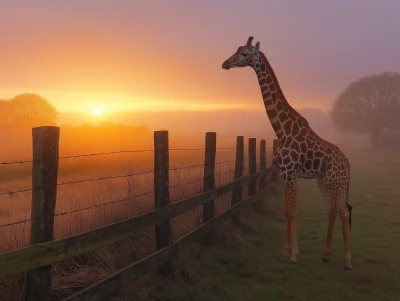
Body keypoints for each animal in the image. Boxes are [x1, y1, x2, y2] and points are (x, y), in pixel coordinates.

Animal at [222, 36, 354, 268]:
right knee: (331, 209)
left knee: (343, 211)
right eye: (237, 49)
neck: (281, 128)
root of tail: (348, 164)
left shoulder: (291, 173)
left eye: (245, 53)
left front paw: (294, 255)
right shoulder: (283, 174)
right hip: (324, 181)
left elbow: (293, 212)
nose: (225, 63)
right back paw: (326, 254)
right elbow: (286, 211)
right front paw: (286, 251)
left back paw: (347, 261)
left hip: (337, 182)